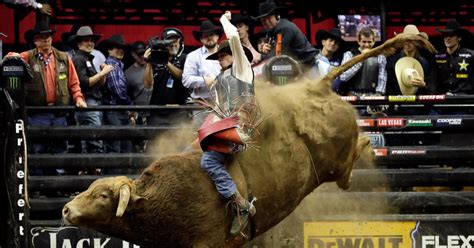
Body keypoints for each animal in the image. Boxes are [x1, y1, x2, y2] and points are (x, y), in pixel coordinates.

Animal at [62, 34, 434, 247]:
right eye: (91, 189)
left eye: (104, 195)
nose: (66, 209)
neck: (154, 201)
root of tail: (317, 85)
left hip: (335, 161)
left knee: (349, 163)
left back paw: (369, 145)